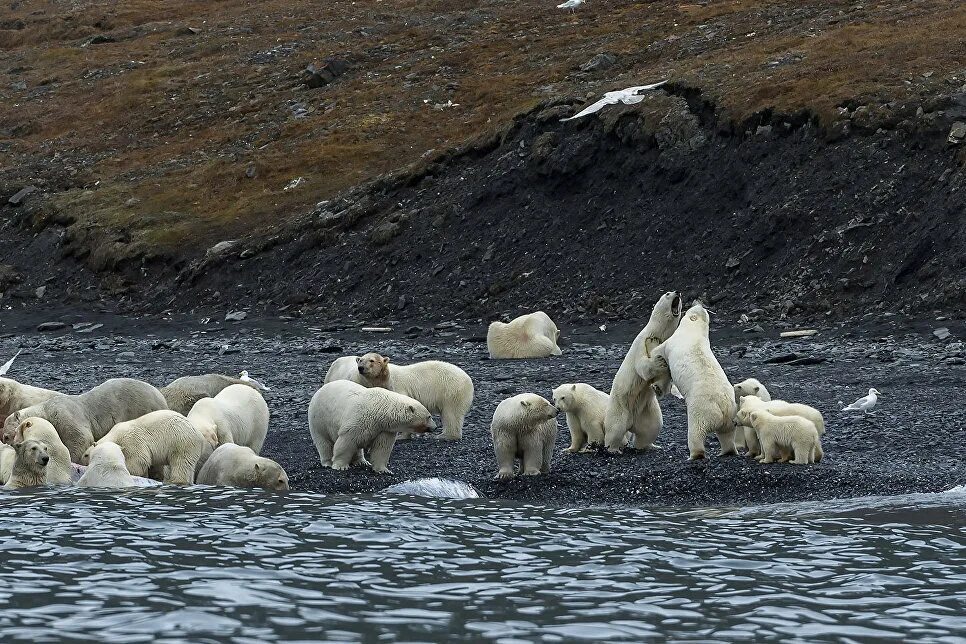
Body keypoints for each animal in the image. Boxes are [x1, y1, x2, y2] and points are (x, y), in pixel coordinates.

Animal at [1, 378, 167, 462]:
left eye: (7, 436)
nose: (4, 439)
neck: (47, 410)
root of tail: (160, 396)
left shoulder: (65, 414)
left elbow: (80, 437)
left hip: (141, 406)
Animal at [600, 290, 684, 450]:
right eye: (667, 293)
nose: (678, 292)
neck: (658, 333)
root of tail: (631, 423)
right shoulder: (642, 342)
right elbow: (642, 366)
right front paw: (658, 362)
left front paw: (659, 388)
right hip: (619, 408)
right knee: (615, 429)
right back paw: (613, 449)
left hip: (647, 411)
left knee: (652, 428)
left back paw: (650, 446)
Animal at [652, 302, 740, 458]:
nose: (696, 302)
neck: (696, 331)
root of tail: (723, 407)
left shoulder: (674, 341)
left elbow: (660, 349)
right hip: (731, 416)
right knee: (727, 434)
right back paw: (727, 451)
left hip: (701, 410)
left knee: (696, 432)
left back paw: (695, 454)